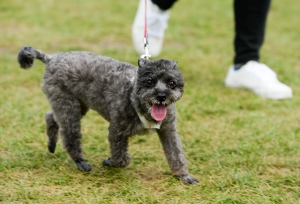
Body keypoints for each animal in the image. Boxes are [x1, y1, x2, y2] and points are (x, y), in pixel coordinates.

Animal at [17, 45, 198, 183]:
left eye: (172, 83)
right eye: (149, 82)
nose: (161, 96)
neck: (135, 99)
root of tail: (52, 58)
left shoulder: (168, 130)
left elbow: (176, 153)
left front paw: (183, 175)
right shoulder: (116, 131)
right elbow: (122, 159)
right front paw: (109, 162)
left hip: (76, 105)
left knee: (51, 116)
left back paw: (51, 145)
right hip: (68, 107)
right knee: (69, 136)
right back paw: (81, 162)